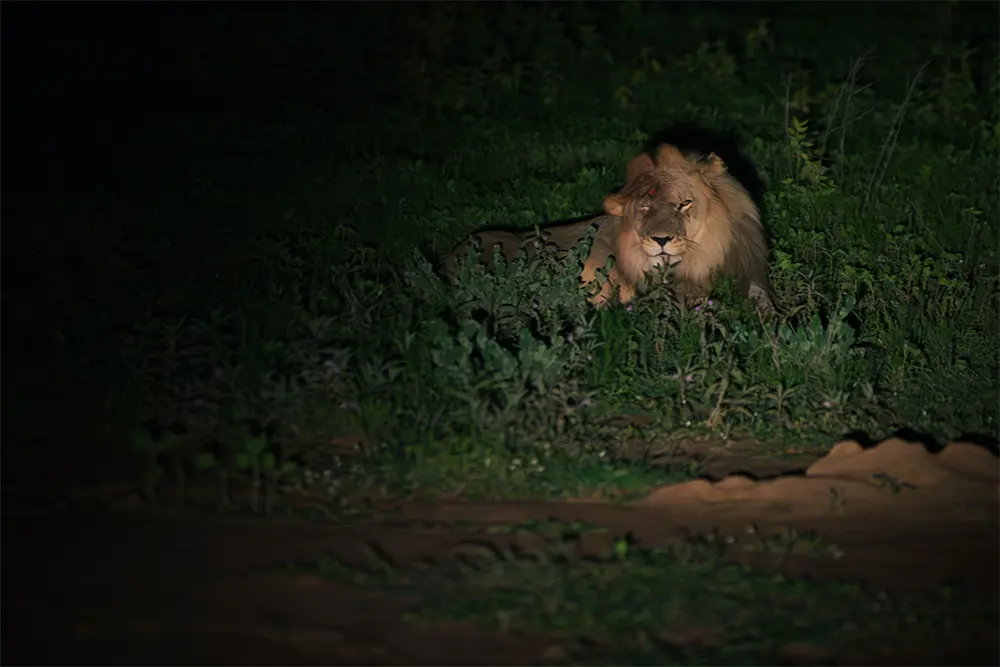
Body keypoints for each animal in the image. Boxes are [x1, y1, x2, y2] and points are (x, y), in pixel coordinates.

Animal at [444, 143, 775, 313]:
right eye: (645, 207)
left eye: (684, 204)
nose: (660, 240)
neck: (707, 253)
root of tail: (451, 255)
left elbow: (765, 303)